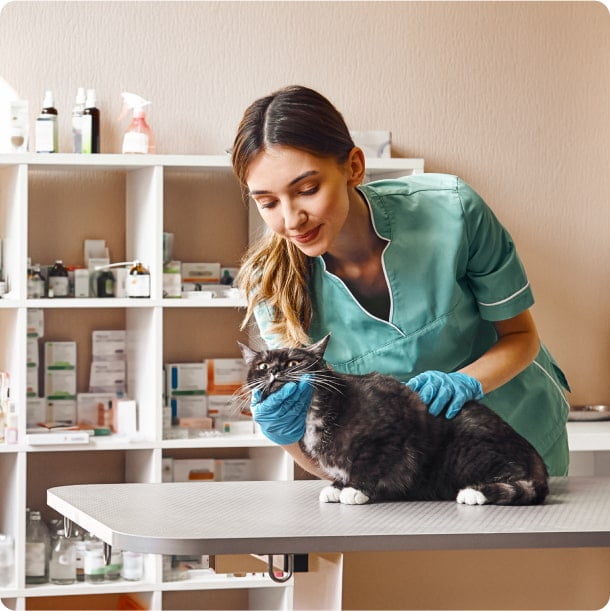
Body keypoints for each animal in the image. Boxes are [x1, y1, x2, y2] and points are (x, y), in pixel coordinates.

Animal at [238, 334, 548, 506]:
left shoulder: (389, 434)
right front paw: (337, 487)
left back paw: (475, 493)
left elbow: (371, 465)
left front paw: (354, 490)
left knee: (523, 482)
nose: (274, 371)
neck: (313, 410)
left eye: (294, 363)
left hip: (472, 449)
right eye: (262, 366)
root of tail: (535, 457)